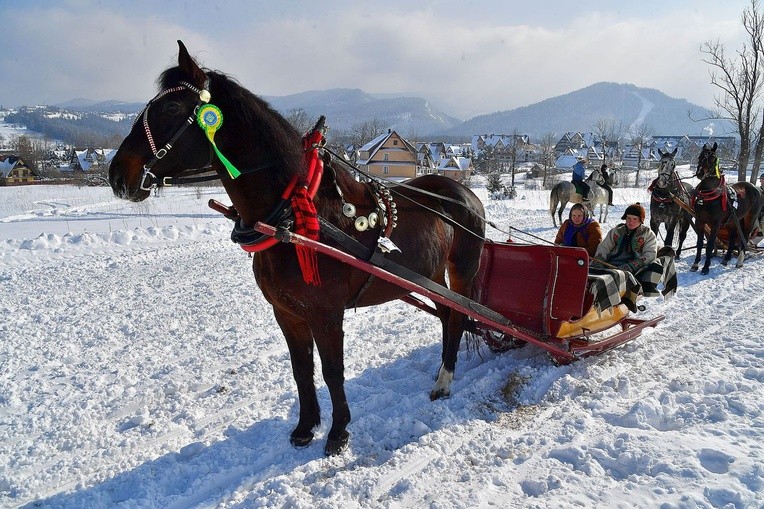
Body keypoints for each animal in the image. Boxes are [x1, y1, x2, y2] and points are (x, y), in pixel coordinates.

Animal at [107, 42, 486, 456]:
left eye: (172, 108)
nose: (117, 175)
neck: (294, 215)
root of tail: (464, 193)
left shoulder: (326, 314)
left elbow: (333, 371)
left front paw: (338, 432)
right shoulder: (287, 313)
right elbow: (301, 370)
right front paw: (305, 427)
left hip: (461, 272)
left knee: (459, 317)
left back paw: (444, 381)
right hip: (431, 275)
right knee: (448, 317)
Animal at [688, 141, 760, 276]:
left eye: (712, 158)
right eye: (700, 157)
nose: (700, 173)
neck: (710, 196)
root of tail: (755, 188)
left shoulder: (715, 224)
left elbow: (710, 245)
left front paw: (706, 267)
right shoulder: (700, 221)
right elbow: (699, 244)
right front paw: (695, 264)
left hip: (750, 219)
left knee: (745, 237)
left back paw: (739, 261)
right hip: (734, 220)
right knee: (732, 238)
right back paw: (726, 259)